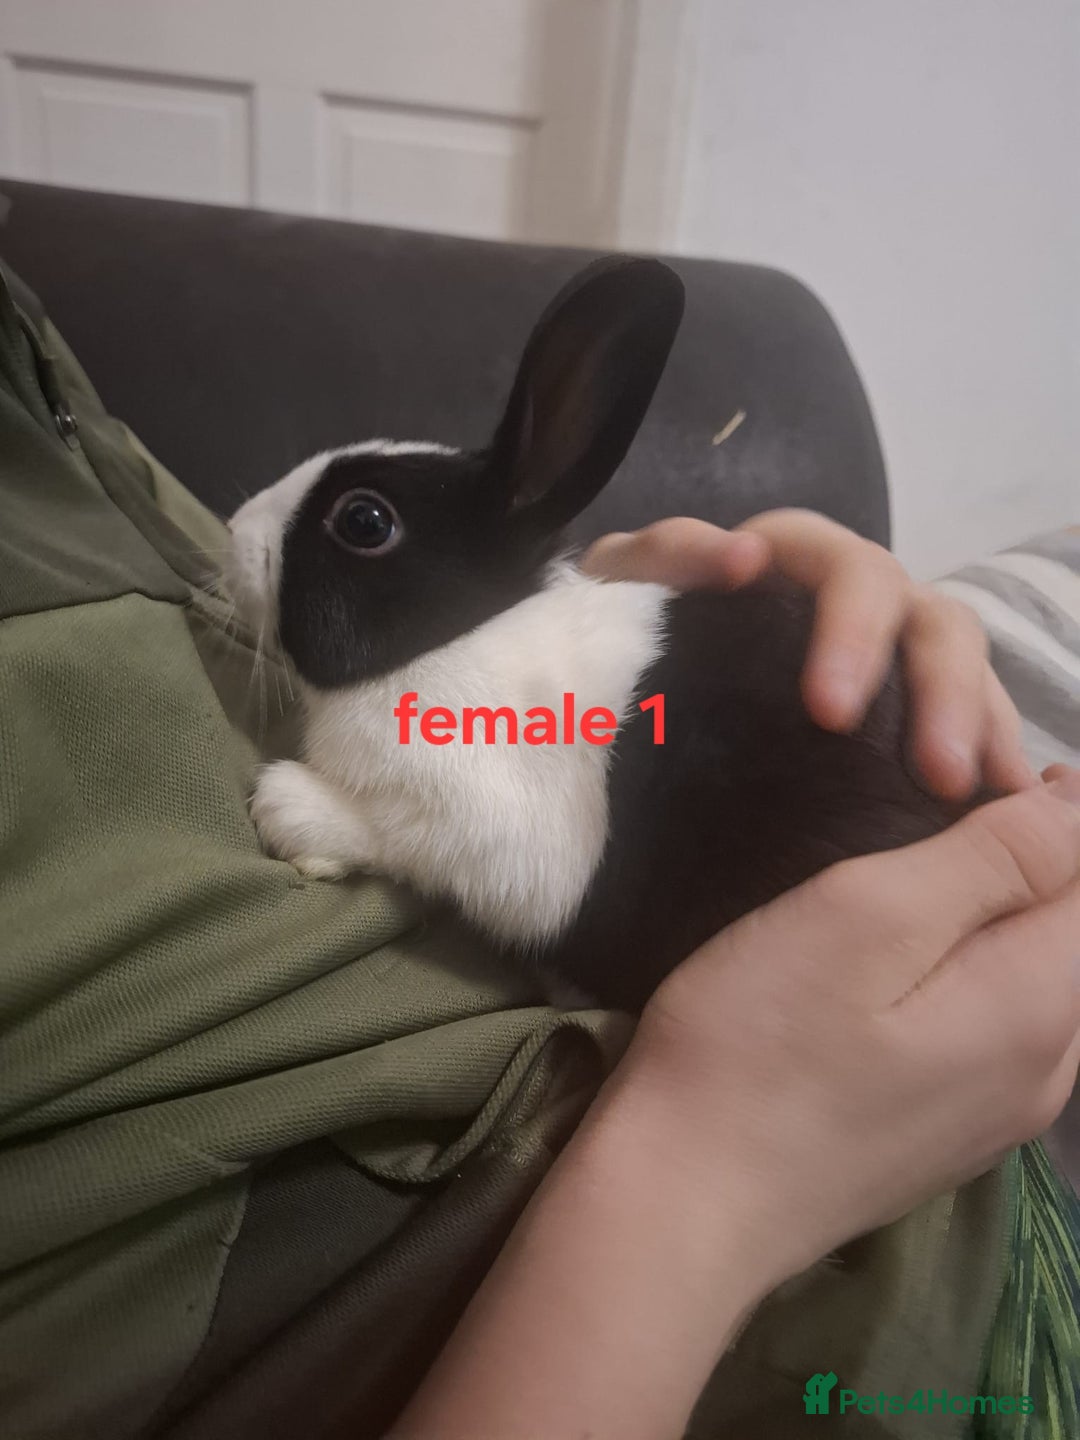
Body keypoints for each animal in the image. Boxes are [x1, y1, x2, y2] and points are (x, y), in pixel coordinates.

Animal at [227, 256, 980, 1012]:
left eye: (364, 521)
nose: (234, 531)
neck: (458, 639)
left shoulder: (497, 833)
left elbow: (394, 832)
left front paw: (286, 809)